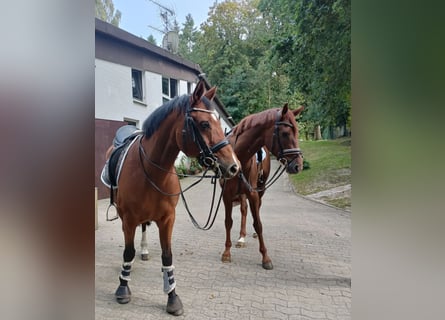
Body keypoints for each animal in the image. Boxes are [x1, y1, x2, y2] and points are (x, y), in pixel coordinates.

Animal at [103, 80, 241, 318]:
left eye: (218, 122)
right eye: (204, 124)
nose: (233, 166)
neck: (151, 170)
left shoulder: (167, 219)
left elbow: (167, 257)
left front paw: (172, 297)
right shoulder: (128, 218)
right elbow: (128, 251)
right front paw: (123, 287)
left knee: (144, 228)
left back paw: (144, 251)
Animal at [220, 104, 304, 268]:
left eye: (297, 132)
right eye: (285, 133)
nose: (298, 166)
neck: (239, 157)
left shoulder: (252, 193)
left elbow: (258, 224)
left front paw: (265, 258)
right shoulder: (227, 194)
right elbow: (228, 222)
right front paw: (226, 252)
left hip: (261, 188)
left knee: (255, 209)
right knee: (244, 210)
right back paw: (241, 238)